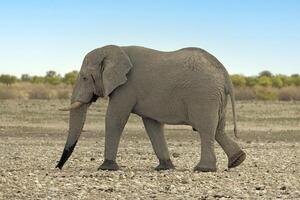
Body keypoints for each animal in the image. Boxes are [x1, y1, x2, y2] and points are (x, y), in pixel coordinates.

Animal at [56, 45, 246, 172]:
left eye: (85, 78)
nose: (58, 166)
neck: (115, 49)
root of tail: (224, 73)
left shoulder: (127, 87)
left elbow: (114, 119)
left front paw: (106, 167)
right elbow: (152, 125)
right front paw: (164, 168)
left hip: (203, 95)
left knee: (205, 129)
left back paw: (203, 169)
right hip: (215, 97)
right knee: (218, 129)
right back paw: (237, 160)